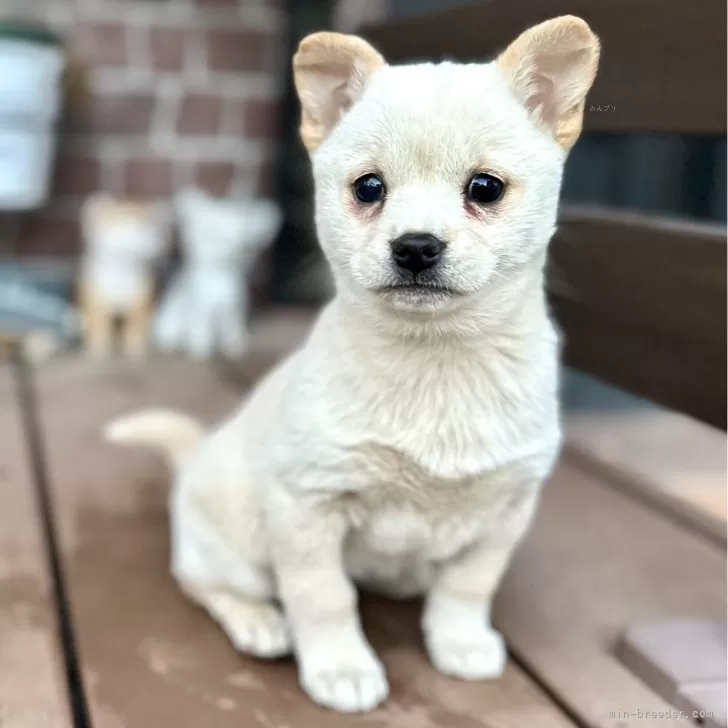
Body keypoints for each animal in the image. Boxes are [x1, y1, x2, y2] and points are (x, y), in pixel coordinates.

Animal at [154, 186, 282, 360]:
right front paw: (201, 351)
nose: (237, 245)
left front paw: (235, 348)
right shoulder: (202, 314)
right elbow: (201, 333)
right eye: (212, 231)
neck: (220, 277)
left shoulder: (232, 313)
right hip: (172, 322)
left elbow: (233, 331)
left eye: (241, 233)